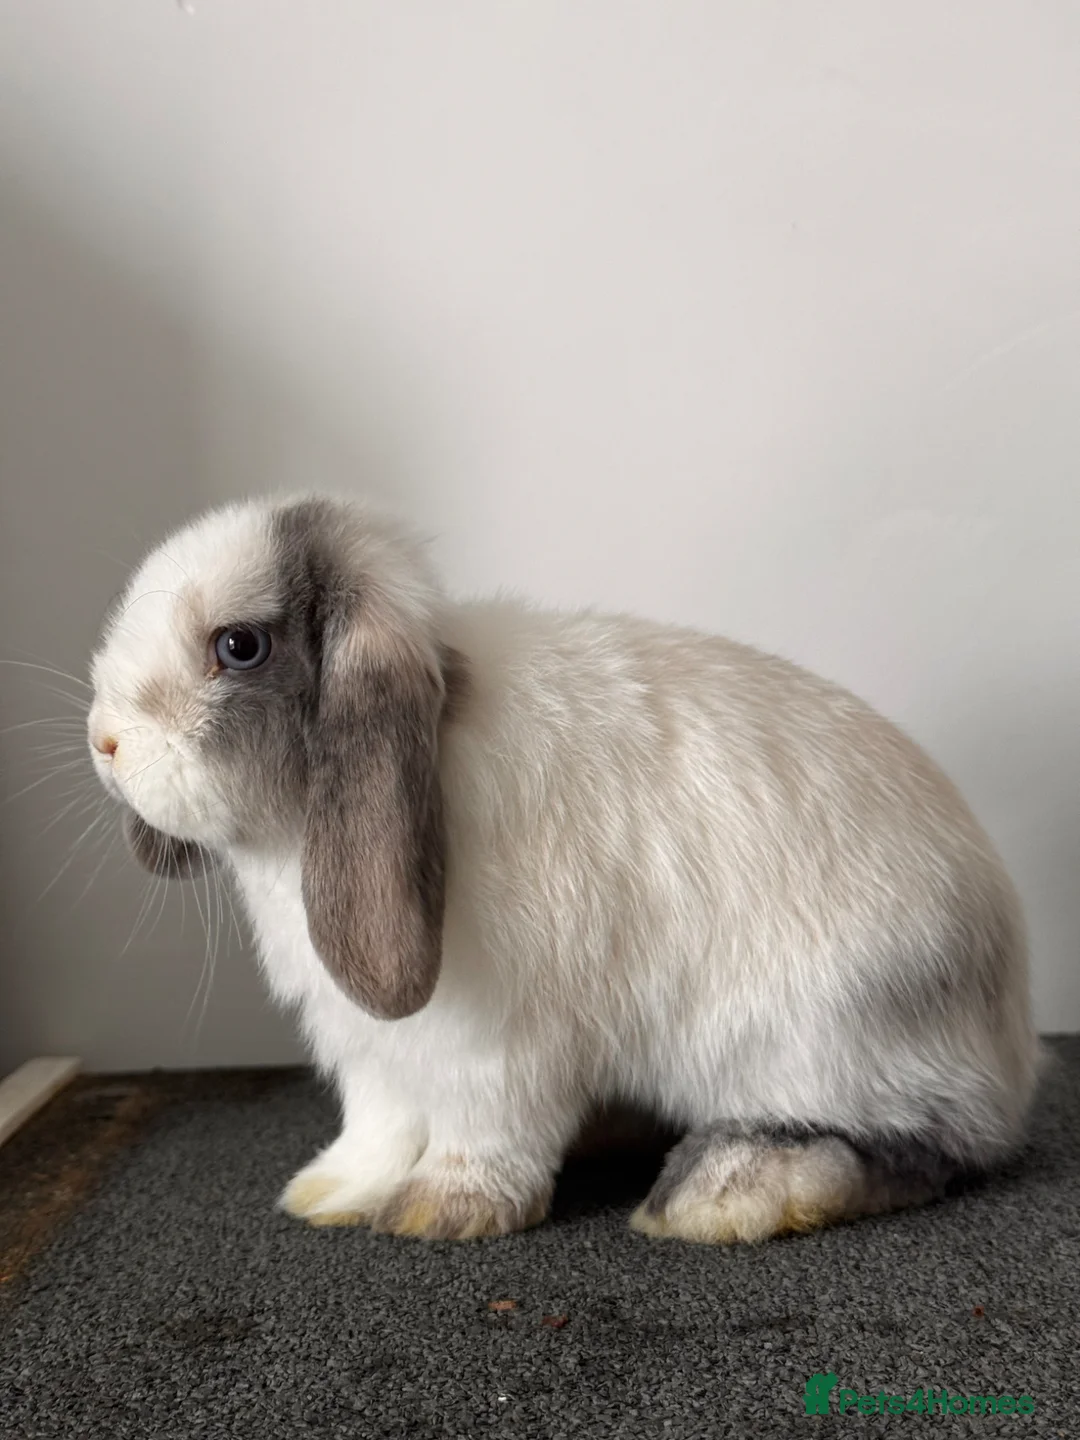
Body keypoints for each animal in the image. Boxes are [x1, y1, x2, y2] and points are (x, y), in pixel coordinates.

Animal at [87, 493, 1039, 1244]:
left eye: (239, 646)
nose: (103, 742)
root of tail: (1010, 1028)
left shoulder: (500, 1046)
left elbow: (484, 1131)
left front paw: (443, 1210)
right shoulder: (376, 1049)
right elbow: (377, 1124)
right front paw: (332, 1192)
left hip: (819, 1039)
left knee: (930, 1146)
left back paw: (727, 1191)